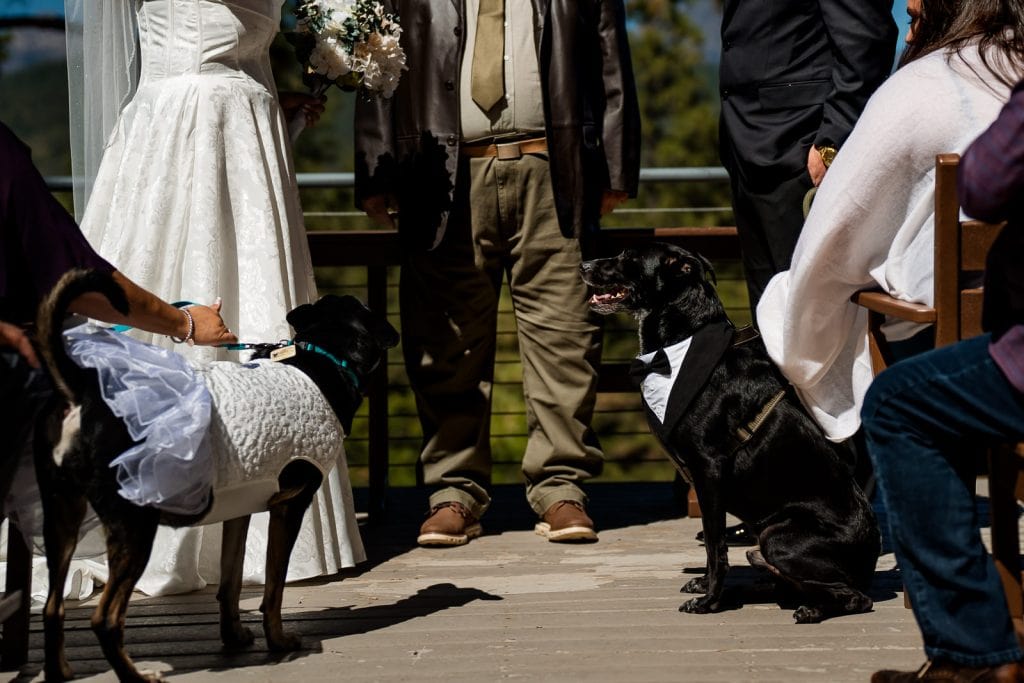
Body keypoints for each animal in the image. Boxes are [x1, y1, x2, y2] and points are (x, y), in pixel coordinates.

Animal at [581, 242, 876, 622]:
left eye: (629, 258)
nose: (583, 265)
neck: (679, 345)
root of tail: (870, 562)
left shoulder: (709, 471)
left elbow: (715, 545)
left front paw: (709, 601)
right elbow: (712, 545)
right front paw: (705, 587)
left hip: (776, 535)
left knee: (854, 597)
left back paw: (812, 609)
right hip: (764, 543)